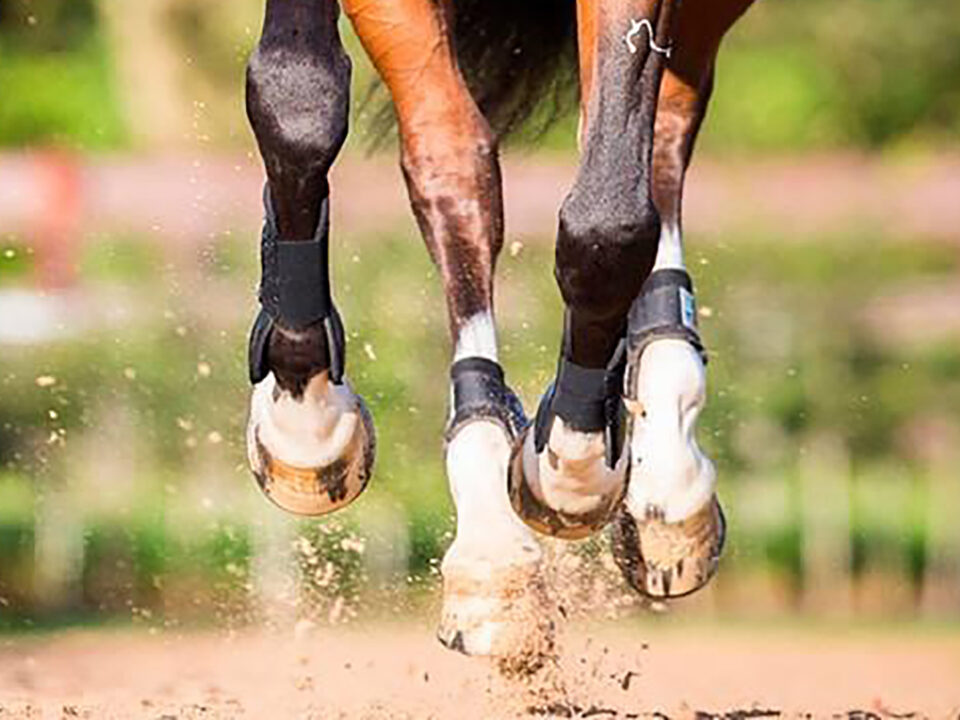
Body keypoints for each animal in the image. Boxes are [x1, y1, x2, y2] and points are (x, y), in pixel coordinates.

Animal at [244, 0, 754, 657]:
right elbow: (298, 95)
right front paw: (303, 419)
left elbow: (608, 224)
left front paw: (573, 458)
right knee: (452, 159)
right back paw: (490, 535)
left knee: (654, 125)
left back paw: (662, 470)